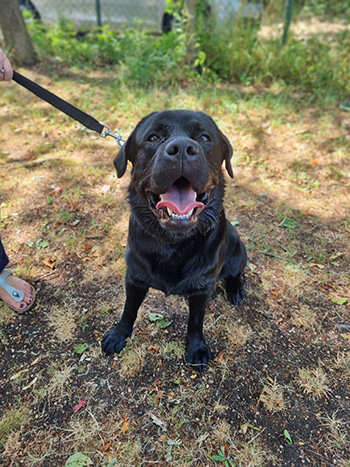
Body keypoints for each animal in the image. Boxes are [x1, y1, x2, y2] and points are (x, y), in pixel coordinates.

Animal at [102, 110, 247, 372]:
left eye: (204, 137)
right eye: (153, 137)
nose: (181, 148)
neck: (173, 242)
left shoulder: (202, 287)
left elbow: (196, 321)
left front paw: (196, 348)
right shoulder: (134, 277)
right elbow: (129, 310)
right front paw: (119, 334)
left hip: (238, 249)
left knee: (236, 271)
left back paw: (236, 288)